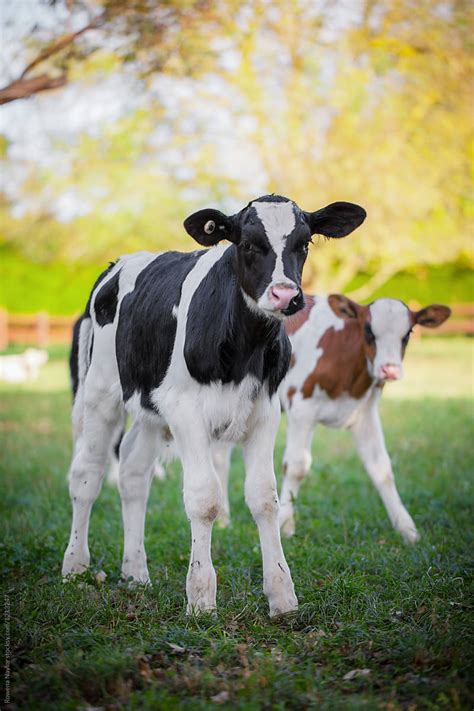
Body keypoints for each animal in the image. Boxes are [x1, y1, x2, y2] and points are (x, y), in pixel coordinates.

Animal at [62, 195, 366, 616]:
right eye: (248, 243)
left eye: (304, 242)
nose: (285, 295)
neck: (244, 345)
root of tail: (114, 266)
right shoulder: (186, 410)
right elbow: (204, 498)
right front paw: (202, 596)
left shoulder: (265, 411)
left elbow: (264, 498)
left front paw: (282, 594)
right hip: (100, 392)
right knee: (87, 475)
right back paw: (74, 566)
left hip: (150, 408)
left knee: (134, 474)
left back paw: (135, 572)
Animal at [280, 294, 450, 540]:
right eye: (368, 330)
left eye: (408, 333)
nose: (390, 369)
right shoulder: (301, 407)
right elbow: (296, 466)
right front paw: (284, 525)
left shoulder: (365, 413)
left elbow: (381, 468)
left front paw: (407, 529)